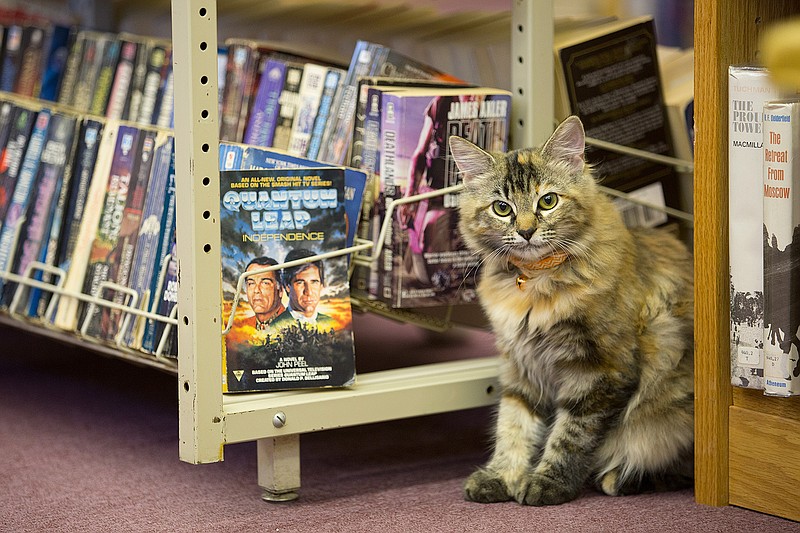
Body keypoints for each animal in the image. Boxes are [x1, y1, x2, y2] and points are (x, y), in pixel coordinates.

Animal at [450, 115, 692, 502]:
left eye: (548, 201)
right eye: (502, 208)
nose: (526, 231)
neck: (536, 282)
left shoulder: (600, 370)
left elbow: (570, 436)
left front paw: (547, 483)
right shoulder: (521, 366)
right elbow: (513, 426)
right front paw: (501, 476)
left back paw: (617, 478)